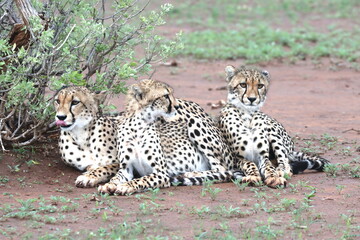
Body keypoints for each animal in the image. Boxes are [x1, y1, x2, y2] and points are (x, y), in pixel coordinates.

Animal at [98, 79, 242, 196]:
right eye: (165, 96)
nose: (177, 106)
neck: (137, 127)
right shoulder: (126, 168)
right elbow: (115, 178)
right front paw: (109, 185)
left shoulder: (161, 173)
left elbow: (142, 179)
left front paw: (126, 186)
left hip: (194, 122)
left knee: (223, 171)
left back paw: (190, 174)